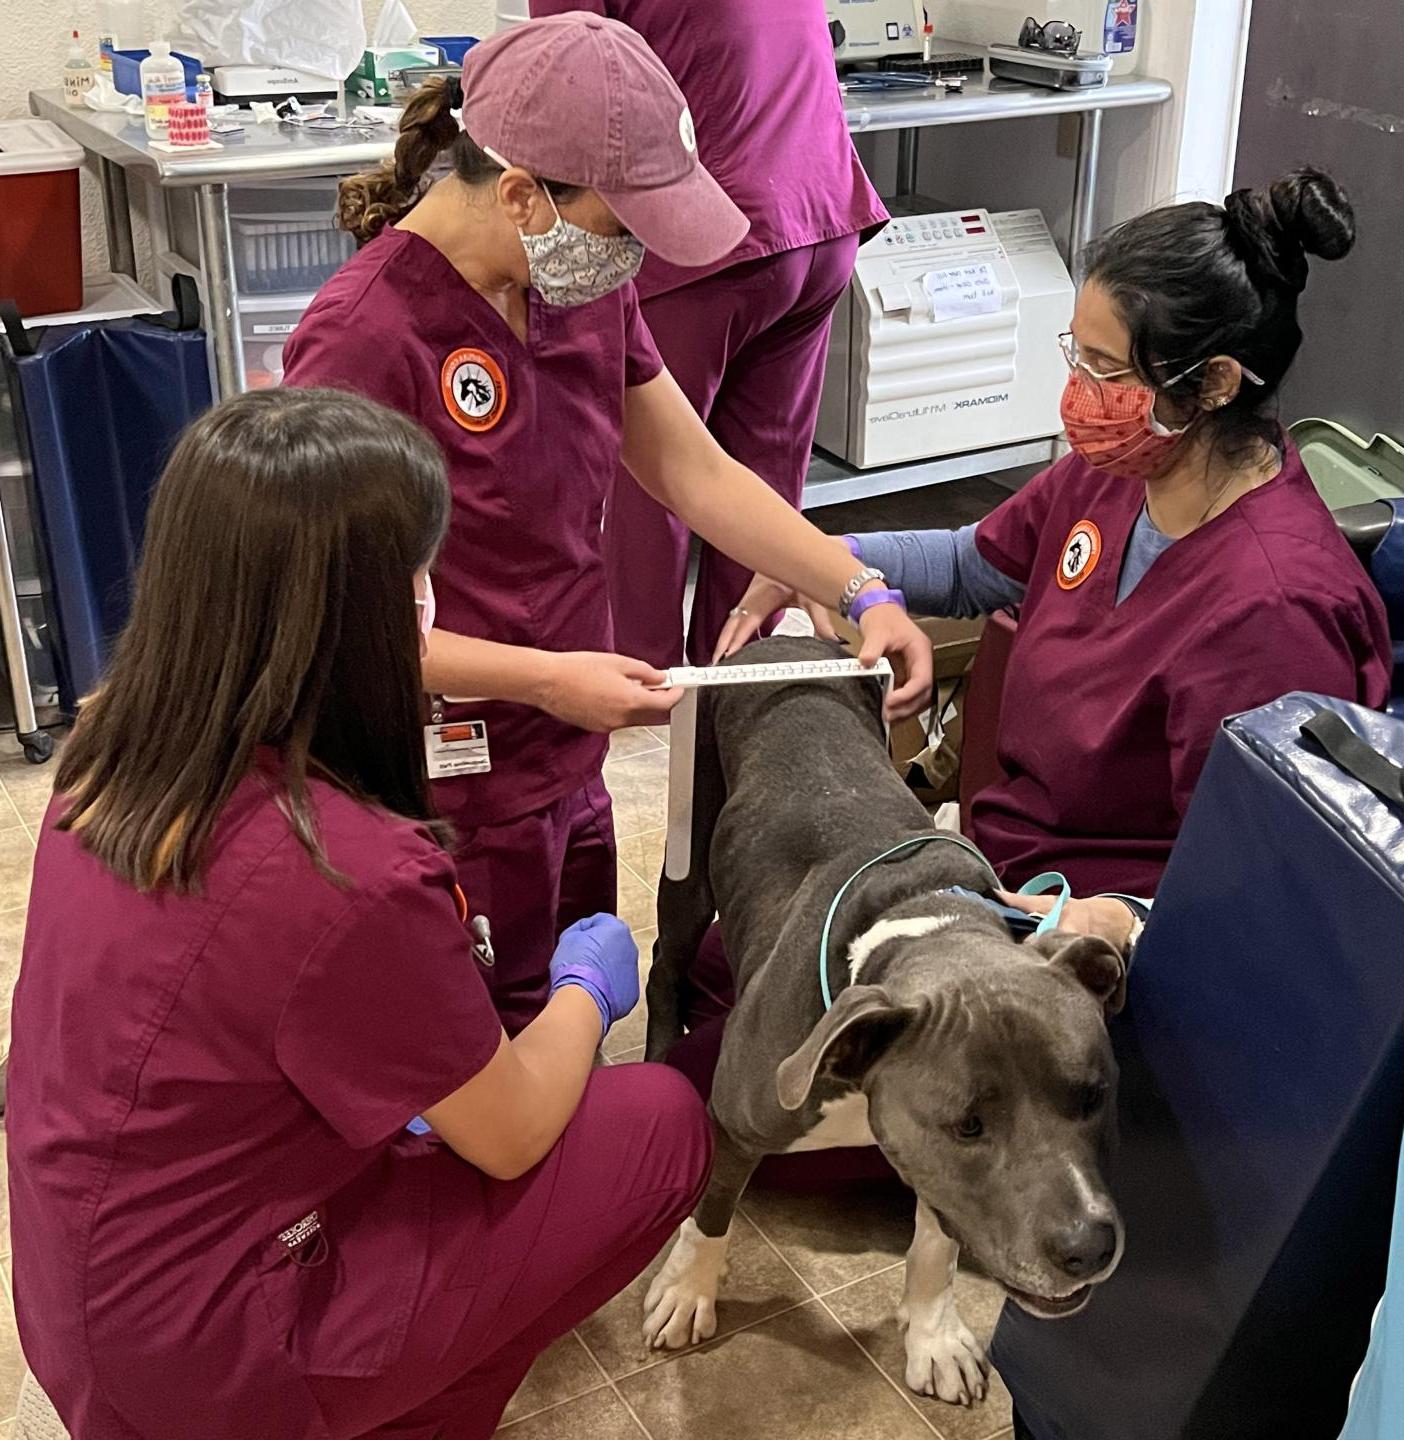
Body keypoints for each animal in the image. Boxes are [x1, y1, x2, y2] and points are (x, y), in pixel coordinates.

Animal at [648, 639, 1128, 1405]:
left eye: (1094, 1095)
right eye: (969, 1125)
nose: (1088, 1247)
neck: (917, 917)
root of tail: (779, 644)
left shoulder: (931, 1164)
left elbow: (938, 1239)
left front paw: (934, 1335)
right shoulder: (741, 1116)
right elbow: (715, 1205)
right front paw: (688, 1290)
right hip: (687, 853)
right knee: (666, 964)